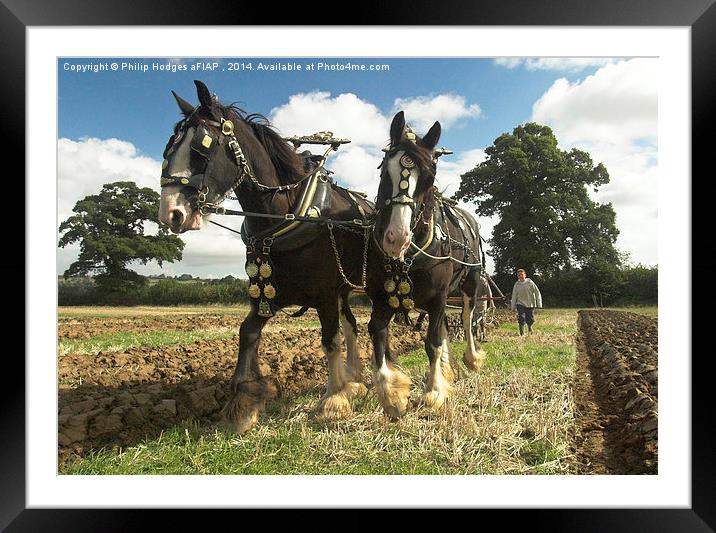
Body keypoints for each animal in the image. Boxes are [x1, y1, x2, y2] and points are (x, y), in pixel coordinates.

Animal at [159, 82, 372, 432]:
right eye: (167, 150)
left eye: (201, 149)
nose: (170, 214)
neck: (286, 212)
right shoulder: (268, 292)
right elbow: (248, 333)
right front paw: (243, 402)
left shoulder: (325, 294)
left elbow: (330, 339)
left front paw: (334, 399)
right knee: (354, 326)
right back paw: (356, 378)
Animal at [370, 112, 486, 418]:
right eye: (384, 172)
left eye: (429, 176)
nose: (396, 238)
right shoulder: (383, 297)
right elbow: (377, 333)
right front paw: (393, 394)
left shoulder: (439, 296)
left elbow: (433, 340)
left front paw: (434, 391)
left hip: (470, 282)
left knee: (467, 318)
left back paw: (470, 359)